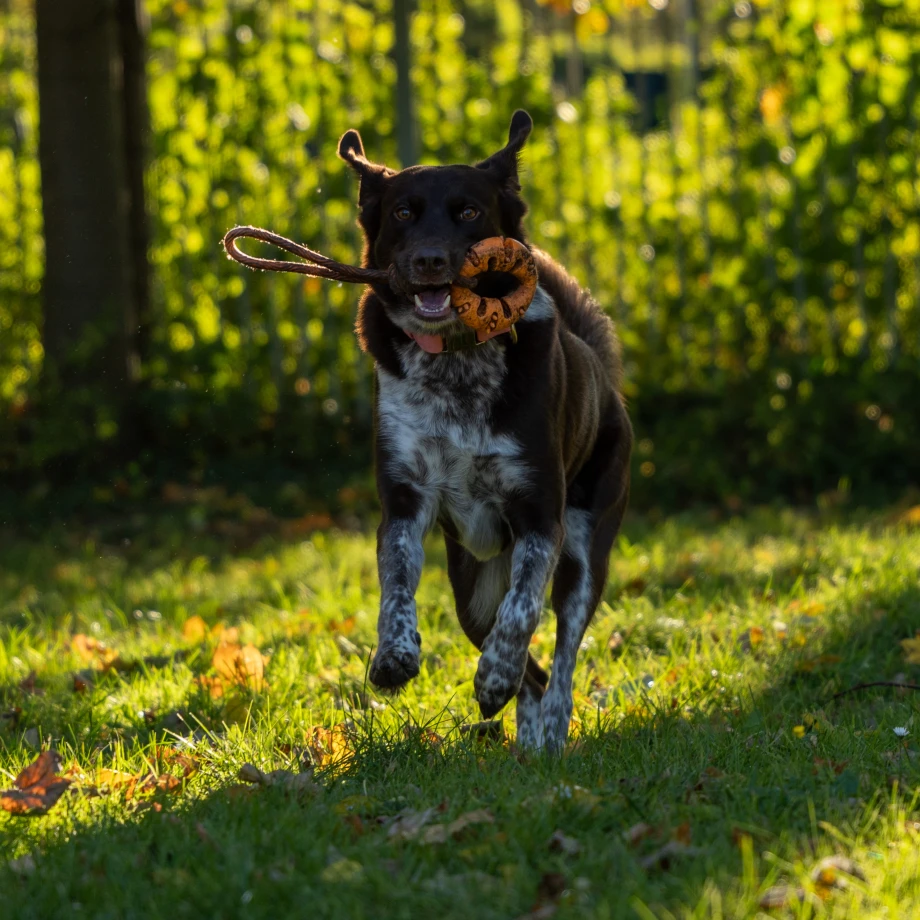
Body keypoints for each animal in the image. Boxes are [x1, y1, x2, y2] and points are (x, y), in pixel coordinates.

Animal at [338, 109, 632, 756]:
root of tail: (604, 378)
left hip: (584, 549)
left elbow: (522, 615)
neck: (456, 363)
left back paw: (549, 733)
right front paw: (393, 656)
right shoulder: (404, 501)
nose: (428, 261)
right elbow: (395, 586)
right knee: (531, 670)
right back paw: (525, 737)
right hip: (470, 588)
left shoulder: (540, 516)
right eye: (403, 213)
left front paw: (494, 676)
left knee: (561, 653)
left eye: (470, 211)